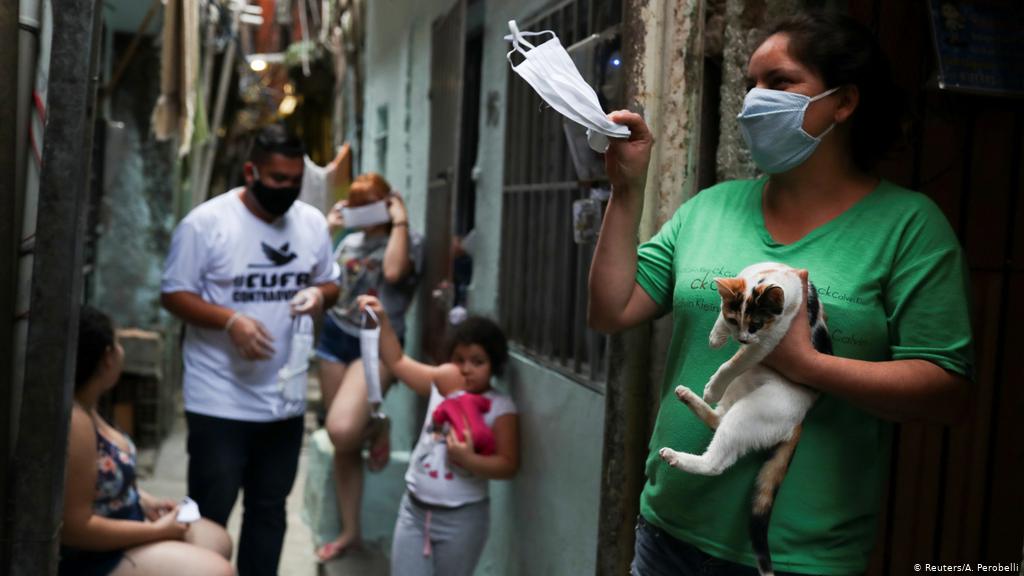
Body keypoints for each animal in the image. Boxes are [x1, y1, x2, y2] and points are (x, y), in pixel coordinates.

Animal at [655, 261, 831, 573]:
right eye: (734, 320)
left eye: (756, 325)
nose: (741, 338)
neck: (765, 280)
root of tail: (798, 420)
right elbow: (721, 324)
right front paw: (716, 336)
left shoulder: (768, 340)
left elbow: (732, 363)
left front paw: (713, 384)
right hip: (742, 387)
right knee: (718, 418)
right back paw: (687, 395)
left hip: (750, 413)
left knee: (716, 461)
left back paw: (677, 455)